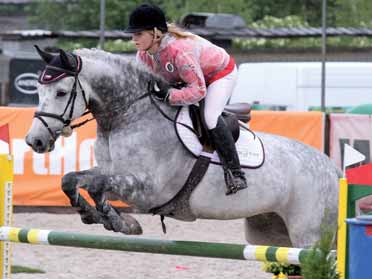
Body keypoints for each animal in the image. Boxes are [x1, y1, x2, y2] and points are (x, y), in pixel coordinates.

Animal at [24, 47, 342, 248]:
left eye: (61, 92)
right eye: (38, 90)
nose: (34, 141)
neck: (128, 114)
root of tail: (332, 168)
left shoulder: (146, 188)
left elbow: (91, 184)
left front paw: (115, 220)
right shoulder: (112, 172)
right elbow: (76, 181)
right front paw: (115, 221)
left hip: (308, 235)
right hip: (269, 234)